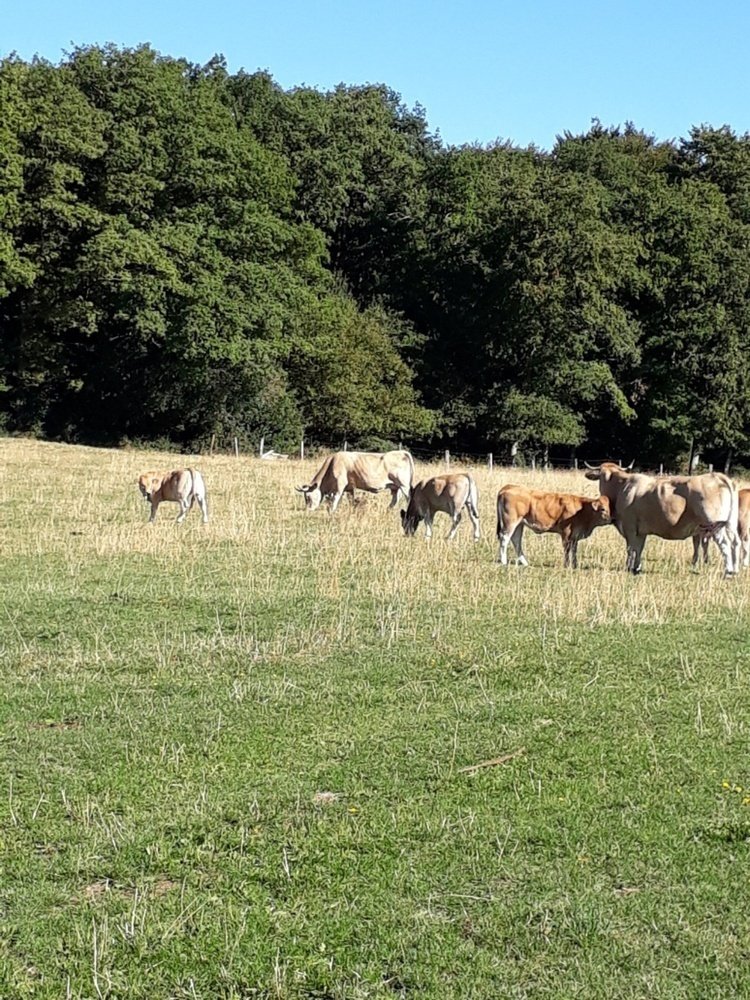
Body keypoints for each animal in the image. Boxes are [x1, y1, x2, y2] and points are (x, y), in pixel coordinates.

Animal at [584, 462, 739, 576]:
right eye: (601, 476)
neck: (622, 487)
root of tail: (717, 476)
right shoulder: (641, 531)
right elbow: (639, 548)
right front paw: (636, 568)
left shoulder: (630, 528)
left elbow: (631, 548)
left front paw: (629, 567)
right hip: (729, 524)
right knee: (735, 542)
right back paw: (735, 570)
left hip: (715, 525)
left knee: (725, 543)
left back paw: (728, 571)